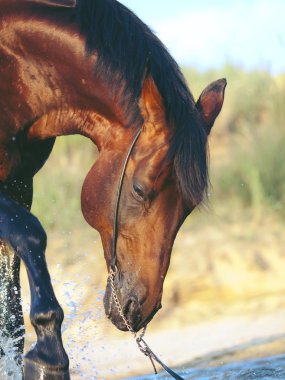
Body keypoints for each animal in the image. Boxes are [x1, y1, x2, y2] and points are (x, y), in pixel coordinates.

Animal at [0, 0, 226, 378]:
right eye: (139, 189)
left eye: (189, 207)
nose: (142, 308)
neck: (10, 72)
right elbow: (32, 234)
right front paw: (48, 355)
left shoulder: (17, 183)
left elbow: (10, 297)